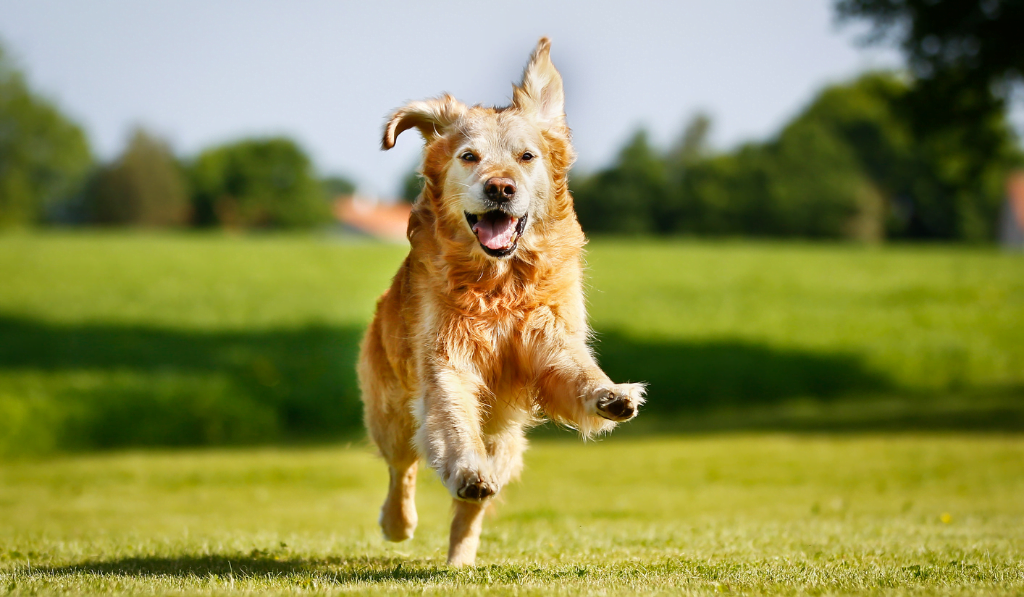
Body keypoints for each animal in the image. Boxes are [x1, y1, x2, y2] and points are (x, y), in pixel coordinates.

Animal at [360, 35, 643, 569]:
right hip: (392, 413)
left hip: (508, 442)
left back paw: (461, 558)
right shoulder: (445, 361)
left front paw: (610, 394)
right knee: (400, 469)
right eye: (469, 156)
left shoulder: (547, 339)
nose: (500, 187)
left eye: (526, 156)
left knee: (472, 507)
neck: (500, 284)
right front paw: (466, 470)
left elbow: (577, 371)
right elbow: (453, 421)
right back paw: (397, 522)